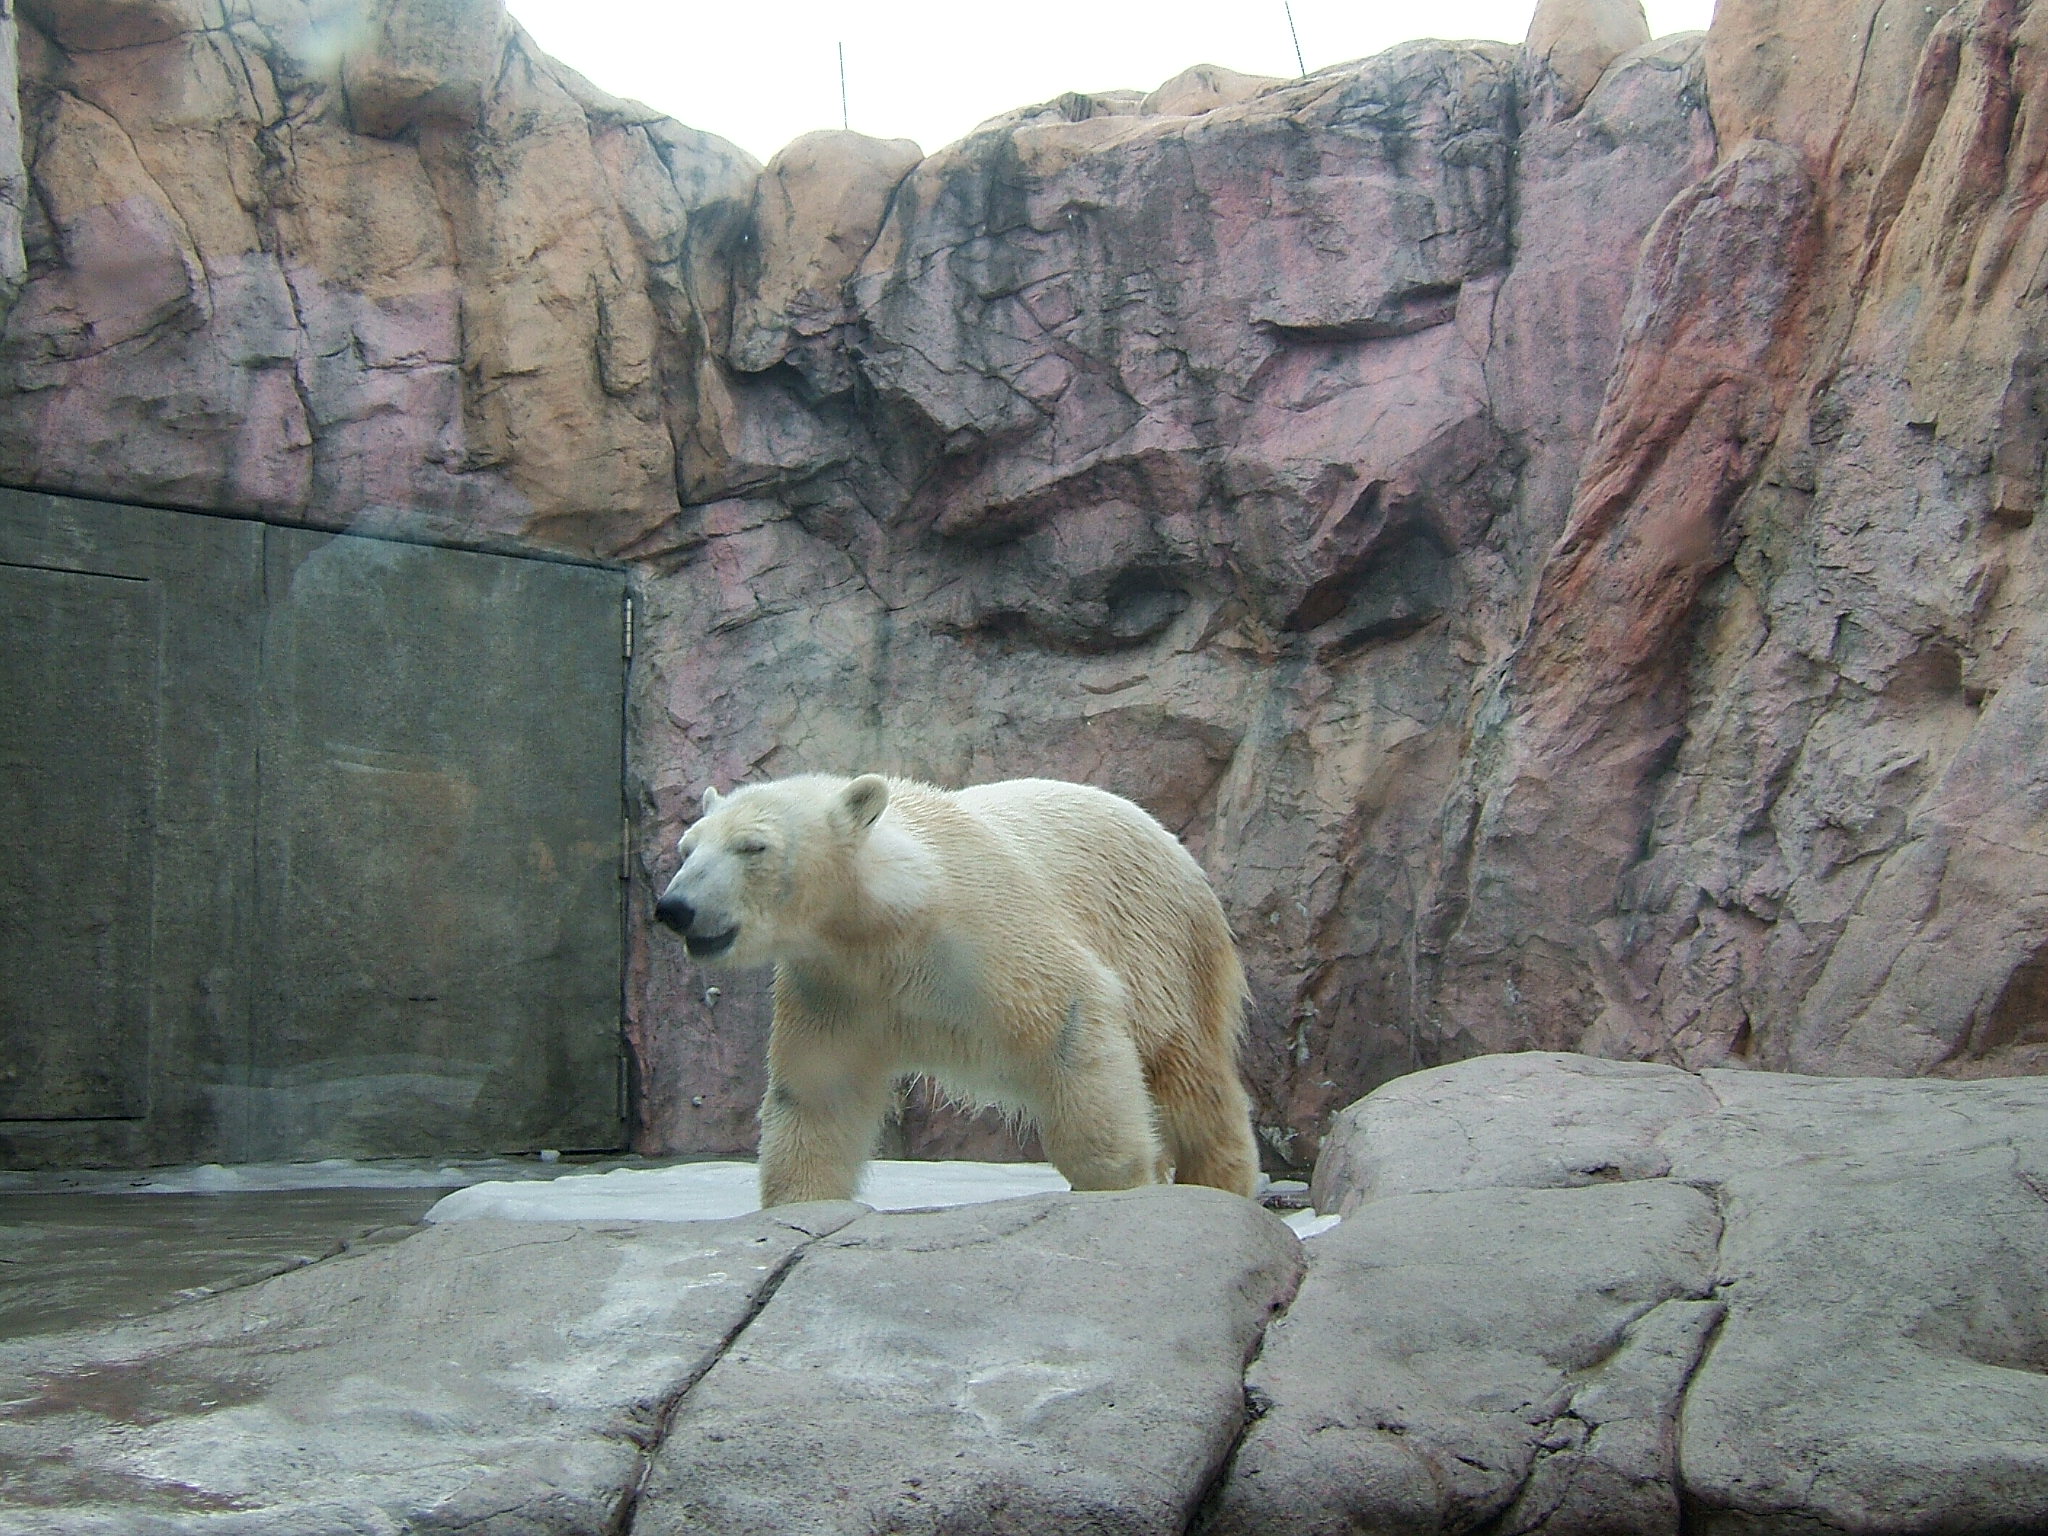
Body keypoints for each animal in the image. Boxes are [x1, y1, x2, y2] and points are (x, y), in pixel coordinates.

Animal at [653, 773, 1261, 1207]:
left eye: (752, 847)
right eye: (687, 847)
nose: (674, 908)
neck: (892, 918)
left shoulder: (990, 934)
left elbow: (1072, 1018)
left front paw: (1119, 1178)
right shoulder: (837, 986)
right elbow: (818, 1093)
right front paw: (802, 1201)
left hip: (1166, 947)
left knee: (1189, 1075)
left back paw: (1217, 1179)